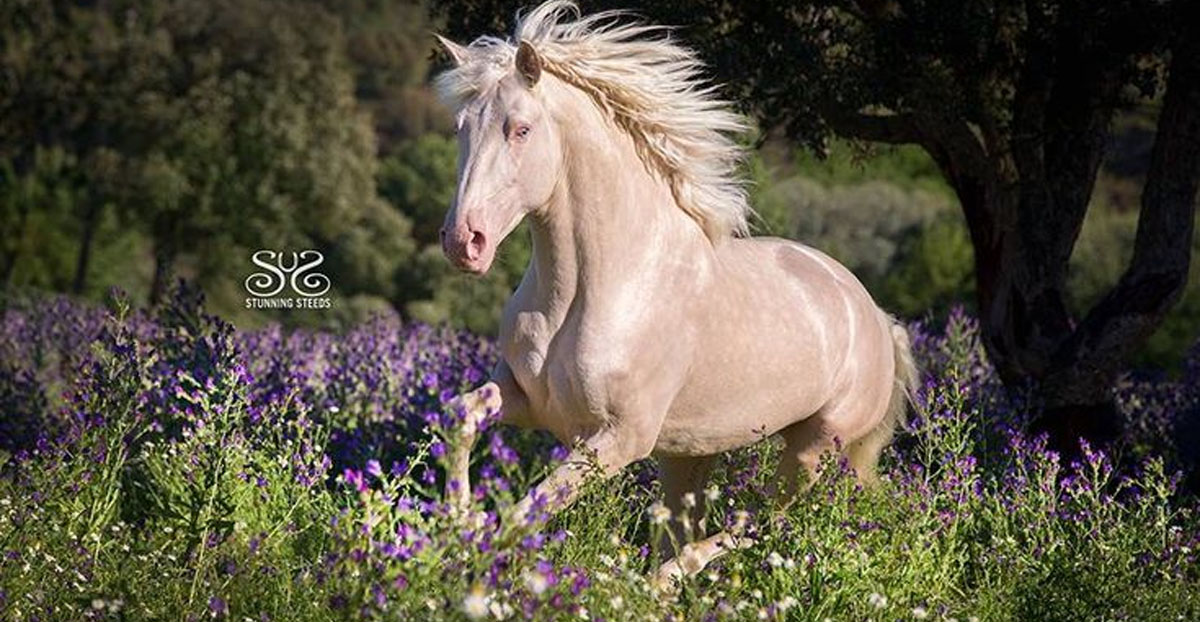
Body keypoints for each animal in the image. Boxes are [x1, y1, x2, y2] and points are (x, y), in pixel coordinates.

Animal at [436, 0, 912, 585]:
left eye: (520, 129)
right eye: (461, 128)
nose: (464, 241)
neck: (590, 288)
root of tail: (877, 317)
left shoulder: (618, 439)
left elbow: (527, 511)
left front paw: (474, 559)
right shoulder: (528, 401)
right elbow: (461, 415)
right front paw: (456, 524)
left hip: (813, 450)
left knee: (755, 522)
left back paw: (664, 582)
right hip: (688, 454)